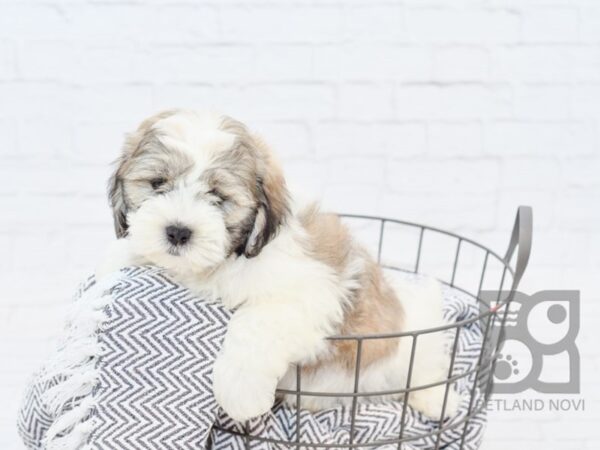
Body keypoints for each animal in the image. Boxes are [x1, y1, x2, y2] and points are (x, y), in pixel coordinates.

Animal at [99, 109, 460, 422]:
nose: (177, 231)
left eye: (218, 196)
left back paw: (435, 399)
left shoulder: (311, 293)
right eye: (157, 183)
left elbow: (255, 323)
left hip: (415, 340)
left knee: (425, 368)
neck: (228, 260)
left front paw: (239, 392)